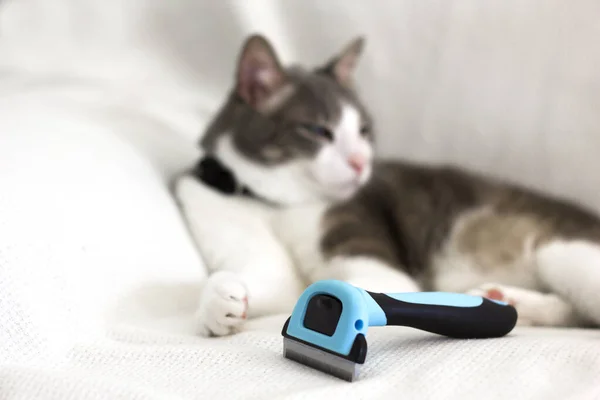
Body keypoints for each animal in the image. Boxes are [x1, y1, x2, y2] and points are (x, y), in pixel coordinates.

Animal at [173, 32, 600, 336]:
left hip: (559, 248)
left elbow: (361, 286)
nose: (361, 162)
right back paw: (508, 301)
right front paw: (219, 301)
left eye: (363, 131)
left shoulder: (365, 239)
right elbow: (271, 282)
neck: (276, 201)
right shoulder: (216, 209)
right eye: (318, 131)